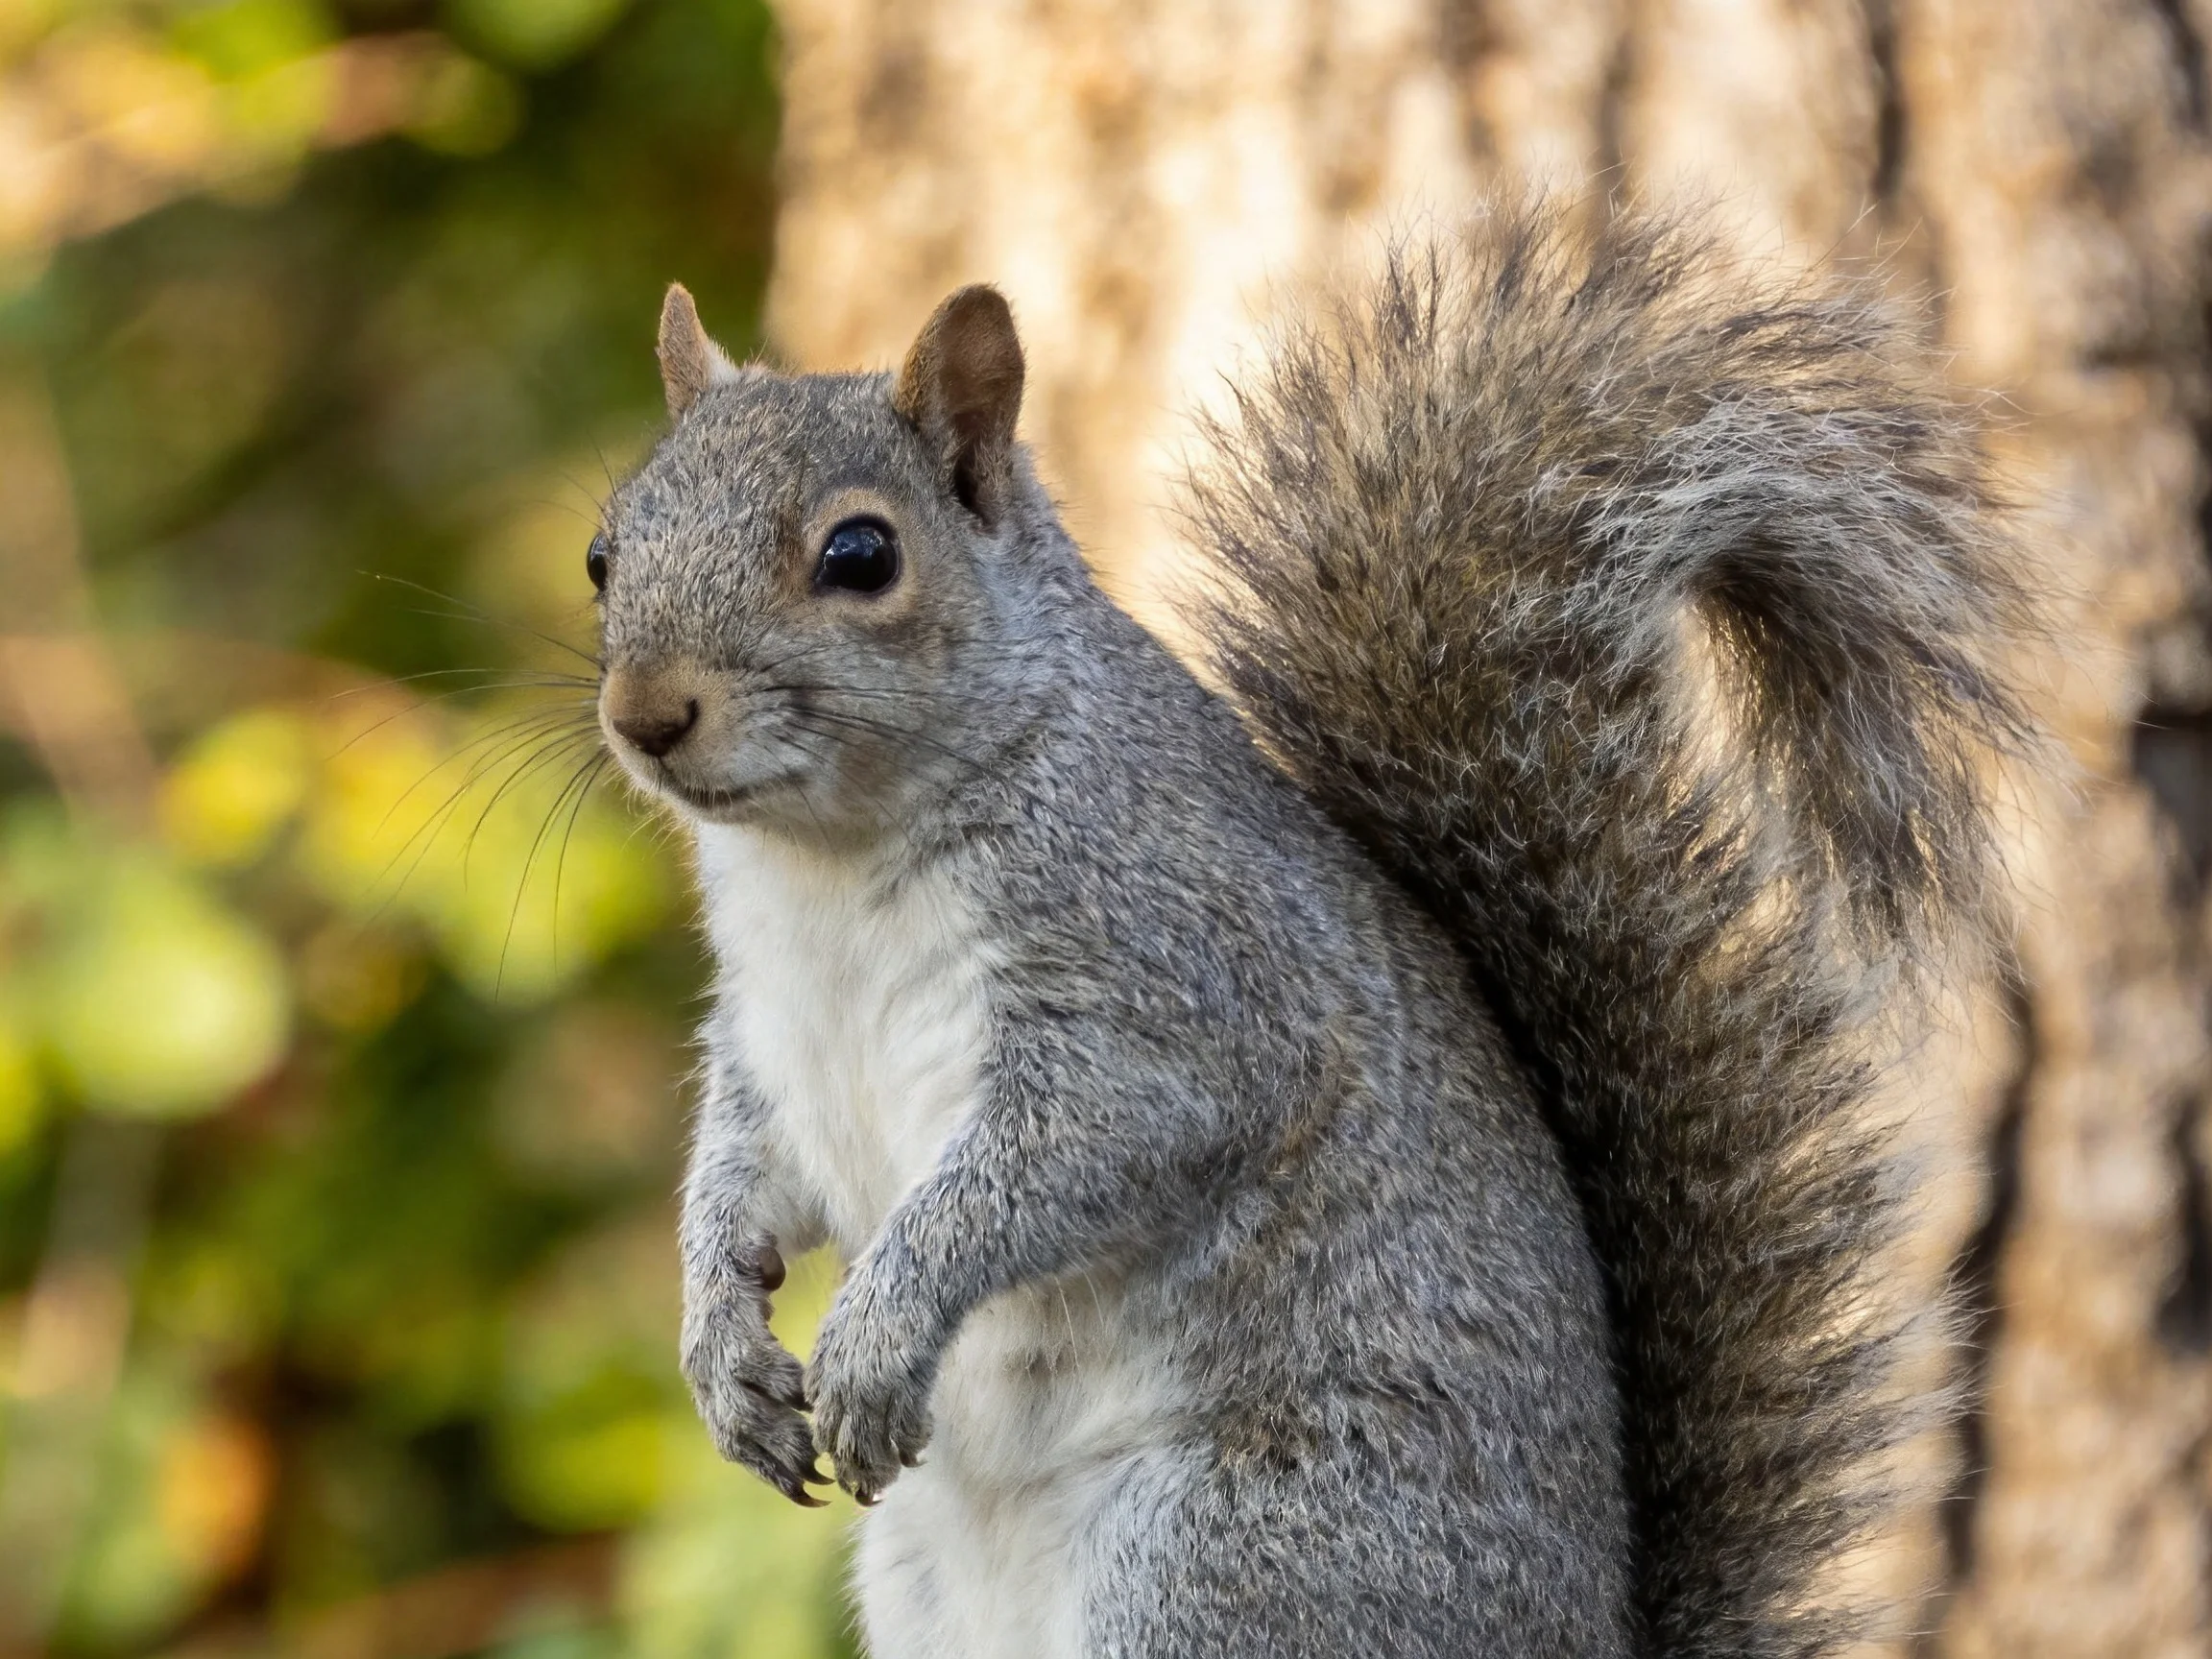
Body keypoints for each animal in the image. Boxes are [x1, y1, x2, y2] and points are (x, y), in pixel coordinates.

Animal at [589, 197, 2026, 1659]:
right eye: (606, 553)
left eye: (861, 556)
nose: (646, 714)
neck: (826, 863)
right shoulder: (772, 1038)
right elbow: (741, 1175)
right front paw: (720, 1347)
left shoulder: (1175, 976)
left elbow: (1054, 1161)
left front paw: (880, 1333)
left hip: (1234, 1558)